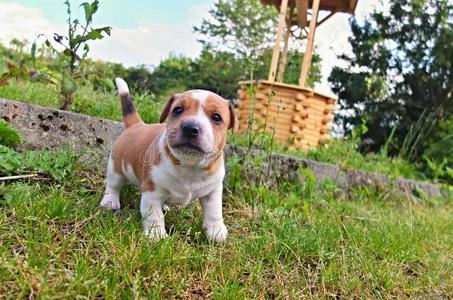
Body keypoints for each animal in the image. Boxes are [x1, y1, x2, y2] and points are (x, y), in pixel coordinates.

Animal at [99, 77, 238, 241]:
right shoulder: (152, 193)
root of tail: (136, 124)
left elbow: (214, 211)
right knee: (113, 186)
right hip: (116, 168)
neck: (190, 164)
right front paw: (156, 235)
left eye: (216, 117)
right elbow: (154, 216)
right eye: (177, 110)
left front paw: (216, 231)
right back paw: (110, 202)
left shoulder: (213, 191)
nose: (190, 128)